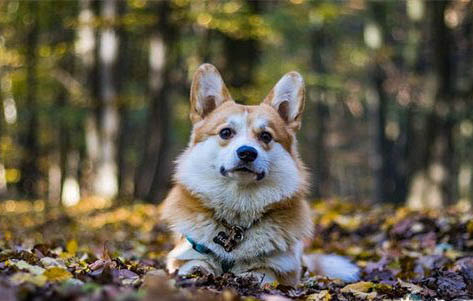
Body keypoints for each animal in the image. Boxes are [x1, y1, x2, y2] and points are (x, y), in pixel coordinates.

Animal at [160, 63, 360, 286]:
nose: (247, 153)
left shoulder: (283, 268)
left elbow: (262, 274)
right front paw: (198, 273)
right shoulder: (184, 254)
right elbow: (193, 265)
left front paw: (247, 277)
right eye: (226, 132)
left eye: (266, 136)